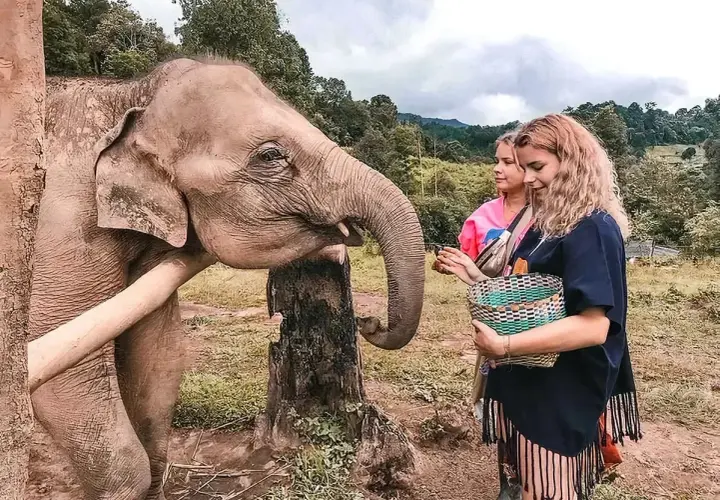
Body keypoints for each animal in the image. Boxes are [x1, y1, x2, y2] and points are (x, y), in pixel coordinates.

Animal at [30, 57, 426, 499]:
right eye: (271, 155)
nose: (370, 322)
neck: (128, 96)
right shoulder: (60, 229)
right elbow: (67, 373)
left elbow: (158, 350)